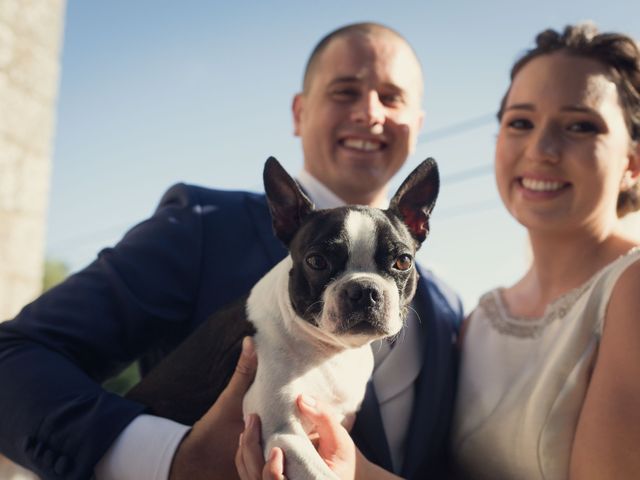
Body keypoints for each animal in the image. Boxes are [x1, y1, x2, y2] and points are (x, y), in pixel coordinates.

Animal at [129, 156, 440, 478]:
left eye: (402, 261)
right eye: (316, 261)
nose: (364, 289)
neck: (330, 351)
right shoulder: (283, 433)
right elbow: (322, 474)